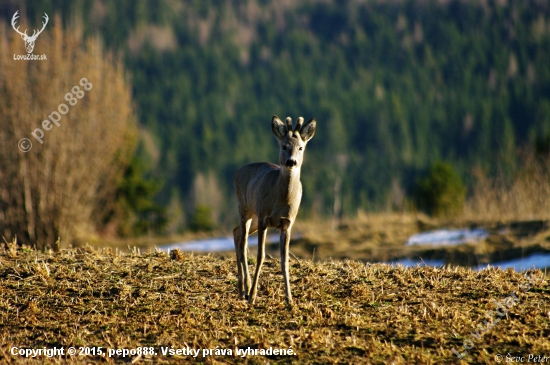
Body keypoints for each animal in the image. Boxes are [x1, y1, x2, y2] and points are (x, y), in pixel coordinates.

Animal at [234, 115, 320, 306]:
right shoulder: (264, 218)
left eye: (301, 147)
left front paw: (290, 300)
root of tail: (238, 170)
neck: (281, 201)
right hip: (245, 208)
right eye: (284, 146)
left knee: (235, 232)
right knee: (243, 243)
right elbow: (261, 256)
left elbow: (284, 260)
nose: (291, 161)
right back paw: (246, 289)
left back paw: (241, 289)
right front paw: (253, 296)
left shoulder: (287, 223)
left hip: (253, 216)